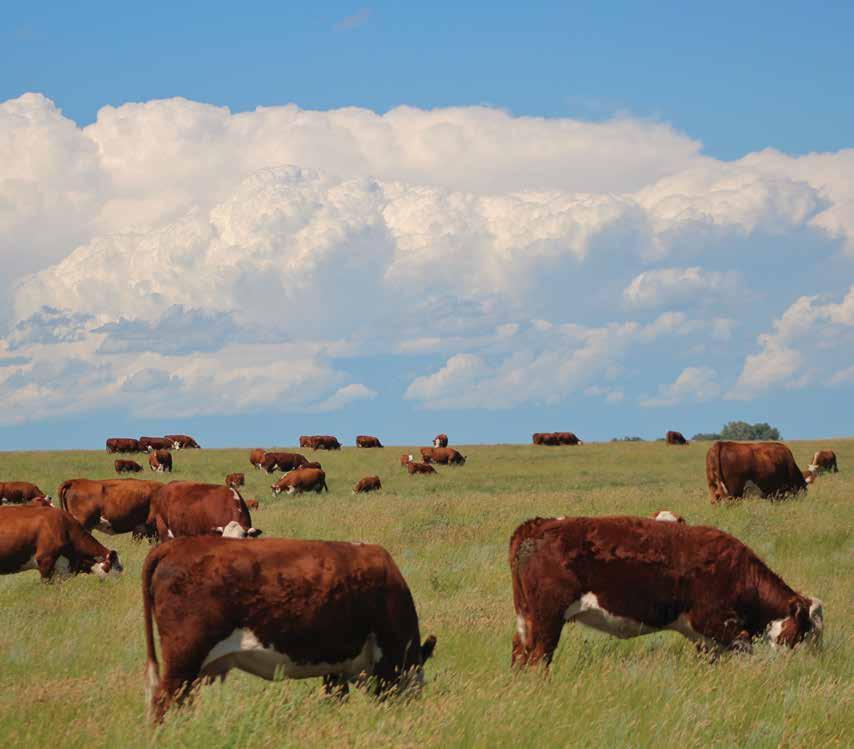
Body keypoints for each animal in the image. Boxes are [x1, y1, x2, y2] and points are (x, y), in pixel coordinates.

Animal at [142, 536, 436, 722]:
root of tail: (175, 545)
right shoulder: (388, 659)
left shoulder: (335, 667)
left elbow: (335, 697)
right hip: (184, 658)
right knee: (163, 702)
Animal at [509, 515, 823, 667]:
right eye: (805, 631)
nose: (811, 662)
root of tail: (540, 524)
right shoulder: (719, 626)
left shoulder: (706, 639)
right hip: (547, 619)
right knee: (538, 659)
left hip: (526, 619)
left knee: (520, 656)